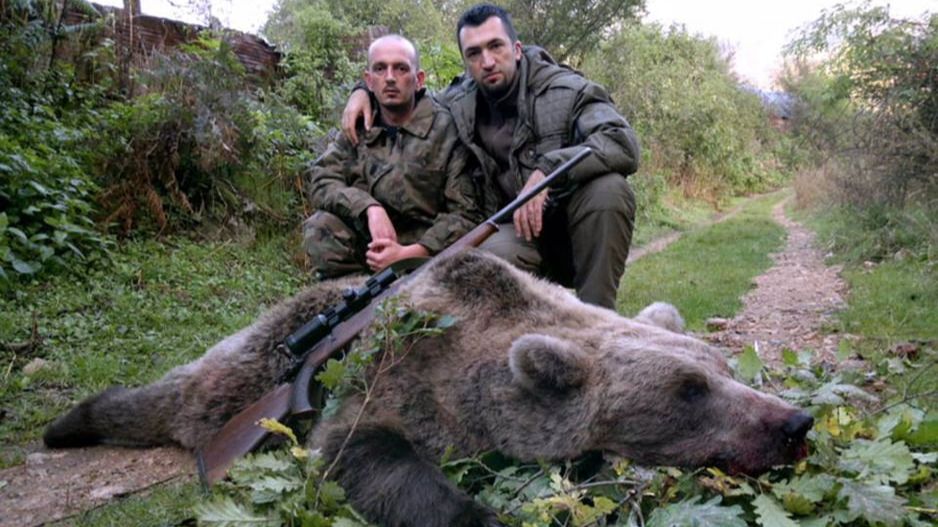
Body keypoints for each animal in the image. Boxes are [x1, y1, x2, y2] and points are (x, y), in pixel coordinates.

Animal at [43, 250, 813, 527]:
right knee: (167, 400)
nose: (794, 423)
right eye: (689, 390)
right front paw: (483, 516)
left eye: (720, 369)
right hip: (238, 375)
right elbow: (362, 455)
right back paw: (64, 424)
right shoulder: (393, 380)